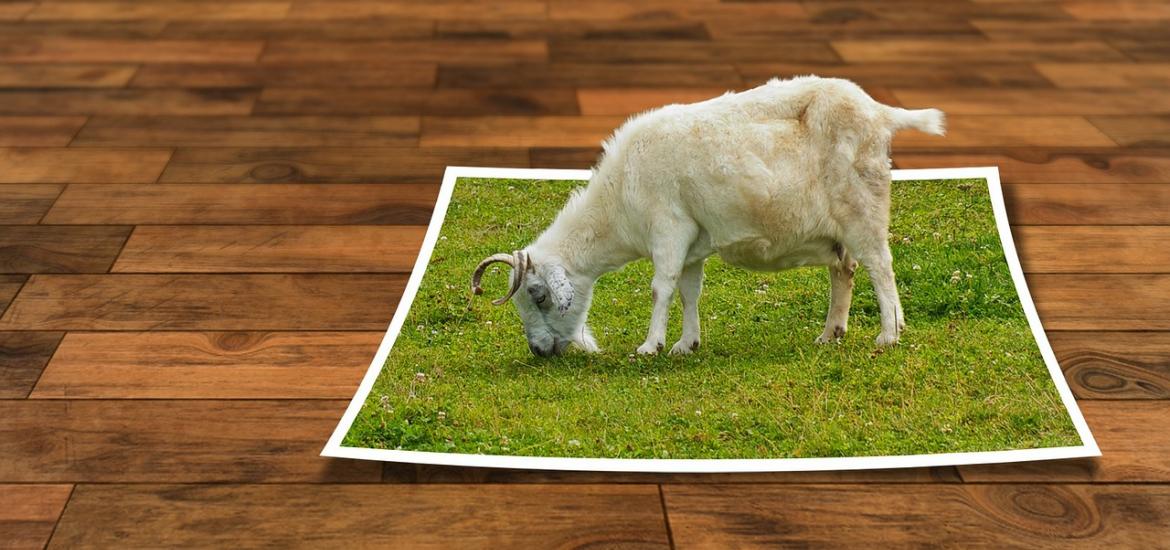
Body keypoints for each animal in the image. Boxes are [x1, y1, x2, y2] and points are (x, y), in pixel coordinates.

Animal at [471, 76, 945, 357]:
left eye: (538, 295)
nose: (538, 350)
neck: (619, 200)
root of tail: (879, 111)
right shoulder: (692, 244)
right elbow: (688, 292)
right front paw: (686, 343)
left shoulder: (668, 226)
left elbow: (660, 288)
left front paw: (651, 345)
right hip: (839, 228)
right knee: (844, 271)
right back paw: (831, 333)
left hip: (862, 205)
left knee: (880, 266)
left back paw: (889, 333)